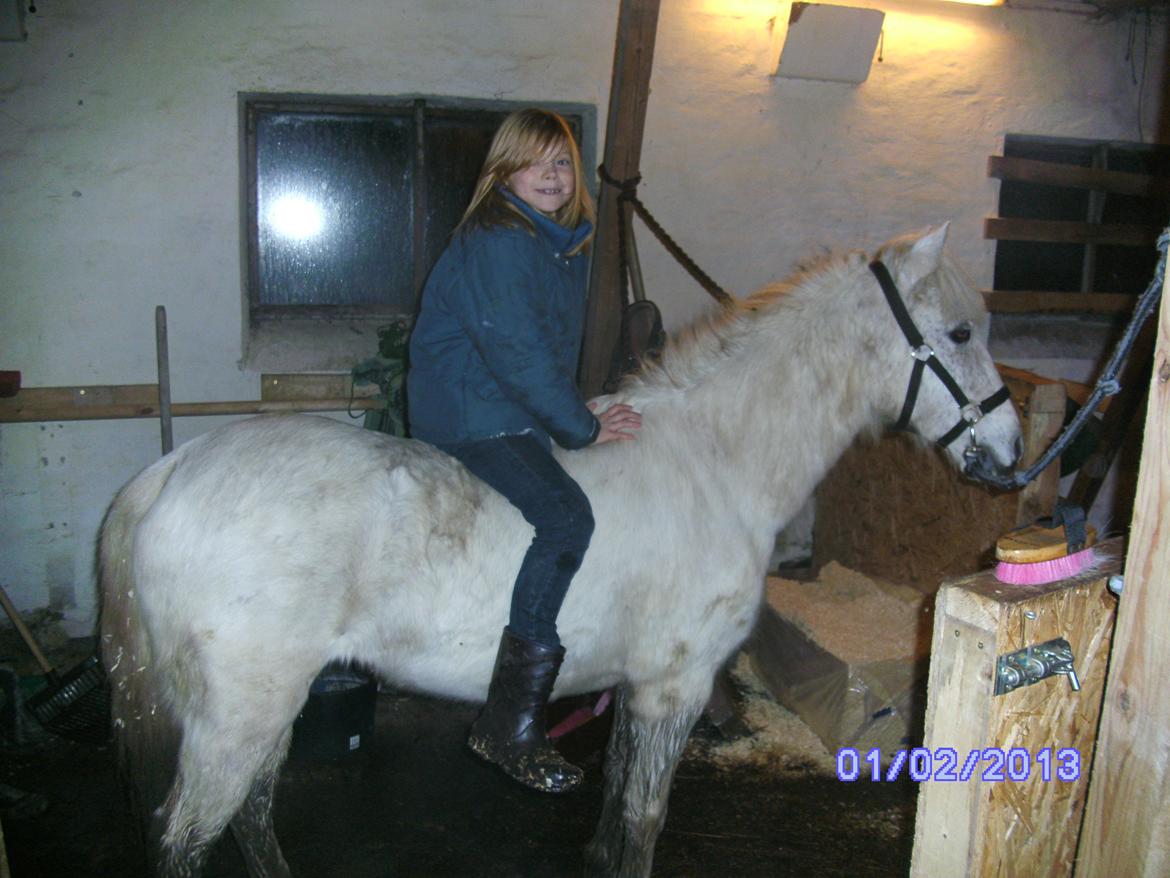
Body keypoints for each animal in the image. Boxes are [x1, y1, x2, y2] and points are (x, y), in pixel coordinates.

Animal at [99, 223, 1022, 877]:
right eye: (961, 332)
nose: (1012, 454)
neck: (712, 462)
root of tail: (172, 471)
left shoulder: (639, 689)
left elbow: (615, 811)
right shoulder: (676, 686)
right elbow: (642, 822)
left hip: (260, 709)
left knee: (249, 817)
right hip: (240, 712)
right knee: (186, 837)